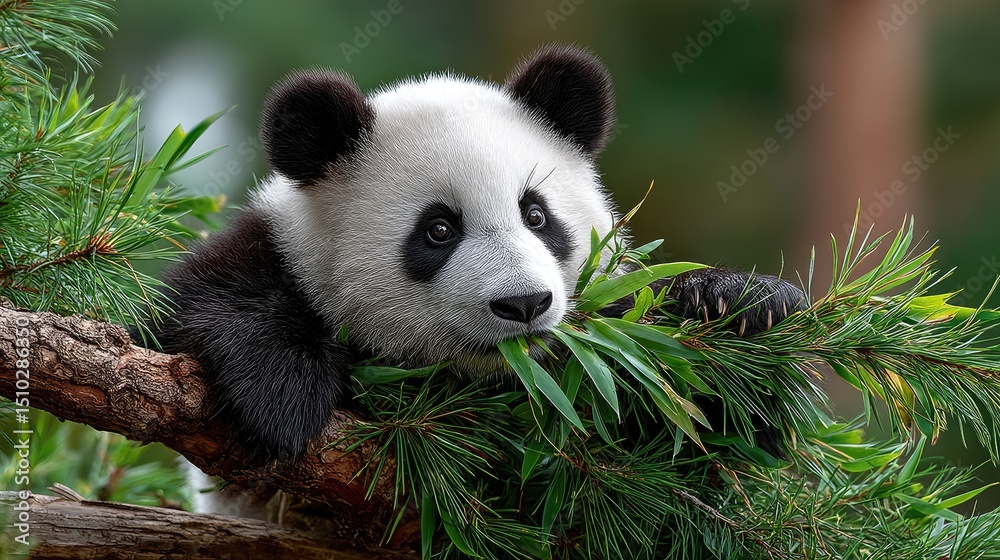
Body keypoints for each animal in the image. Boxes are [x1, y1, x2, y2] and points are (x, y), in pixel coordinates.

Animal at [157, 44, 805, 473]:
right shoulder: (277, 250)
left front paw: (741, 304)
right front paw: (283, 399)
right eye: (439, 230)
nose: (524, 304)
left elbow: (703, 433)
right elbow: (200, 304)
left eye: (536, 215)